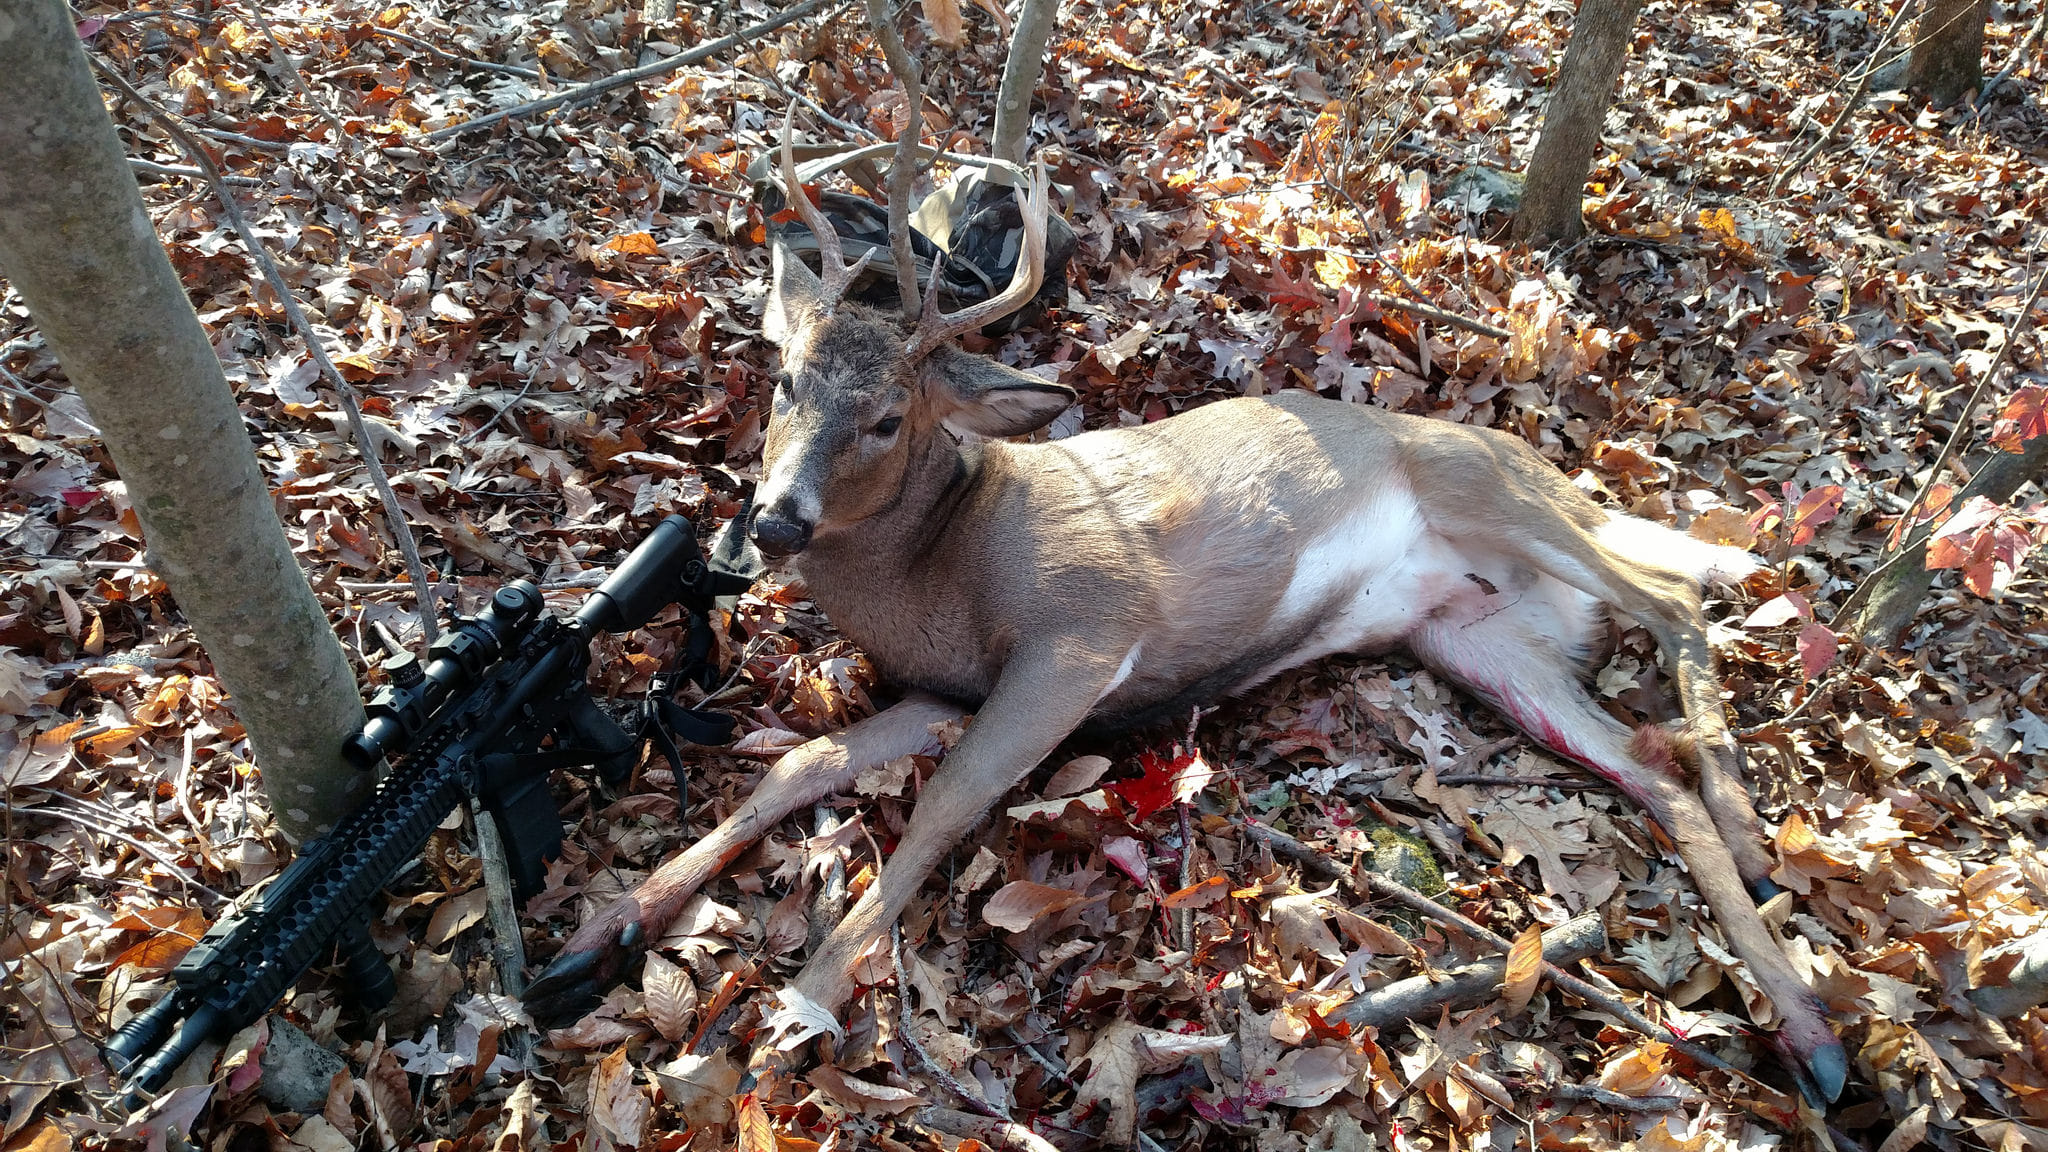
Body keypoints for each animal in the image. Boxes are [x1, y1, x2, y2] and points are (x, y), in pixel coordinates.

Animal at [522, 120, 1848, 1107]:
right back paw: (1808, 1025)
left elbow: (945, 807)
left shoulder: (1080, 633)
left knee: (1679, 597)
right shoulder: (945, 688)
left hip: (1486, 488)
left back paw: (1769, 878)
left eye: (889, 417)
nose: (776, 521)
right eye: (787, 380)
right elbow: (793, 766)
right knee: (1649, 766)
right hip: (1475, 639)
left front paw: (807, 993)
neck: (941, 572)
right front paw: (599, 930)